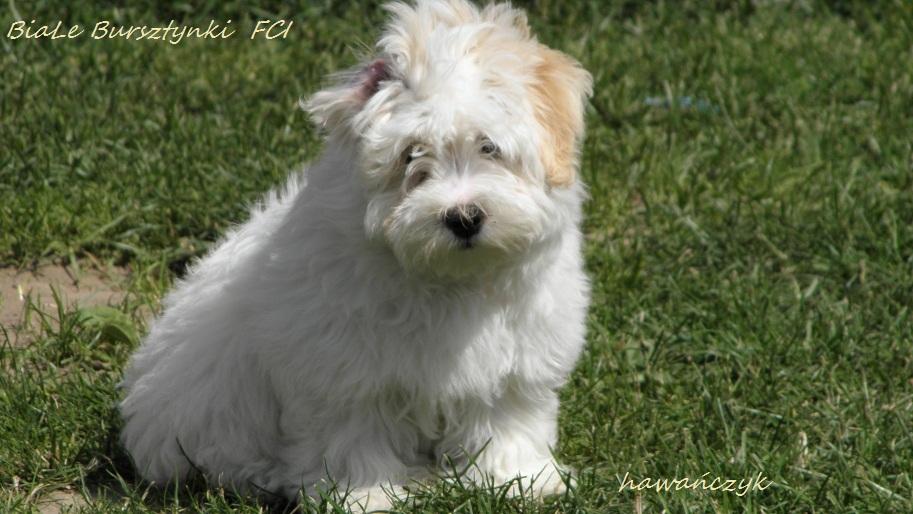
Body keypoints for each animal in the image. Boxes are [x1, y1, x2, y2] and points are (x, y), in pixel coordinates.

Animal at [119, 0, 592, 506]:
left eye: (489, 148)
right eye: (412, 157)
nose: (464, 218)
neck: (449, 277)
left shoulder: (518, 356)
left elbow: (507, 417)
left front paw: (519, 480)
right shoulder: (343, 368)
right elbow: (352, 432)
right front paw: (367, 495)